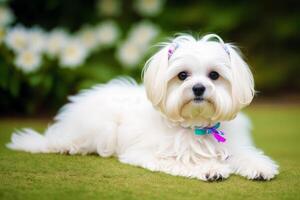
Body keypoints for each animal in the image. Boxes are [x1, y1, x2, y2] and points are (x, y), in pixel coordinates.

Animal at [7, 34, 278, 181]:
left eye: (214, 75)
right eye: (182, 75)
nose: (199, 88)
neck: (197, 125)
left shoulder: (232, 145)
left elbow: (244, 154)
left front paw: (259, 166)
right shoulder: (149, 154)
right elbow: (183, 161)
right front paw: (210, 168)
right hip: (101, 129)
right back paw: (66, 147)